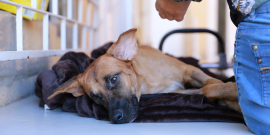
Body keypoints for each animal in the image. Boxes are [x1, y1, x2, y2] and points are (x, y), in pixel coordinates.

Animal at [47, 28, 239, 123]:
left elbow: (212, 82)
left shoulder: (190, 70)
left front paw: (232, 89)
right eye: (95, 97)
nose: (115, 119)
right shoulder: (176, 93)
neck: (149, 81)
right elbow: (207, 90)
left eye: (113, 79)